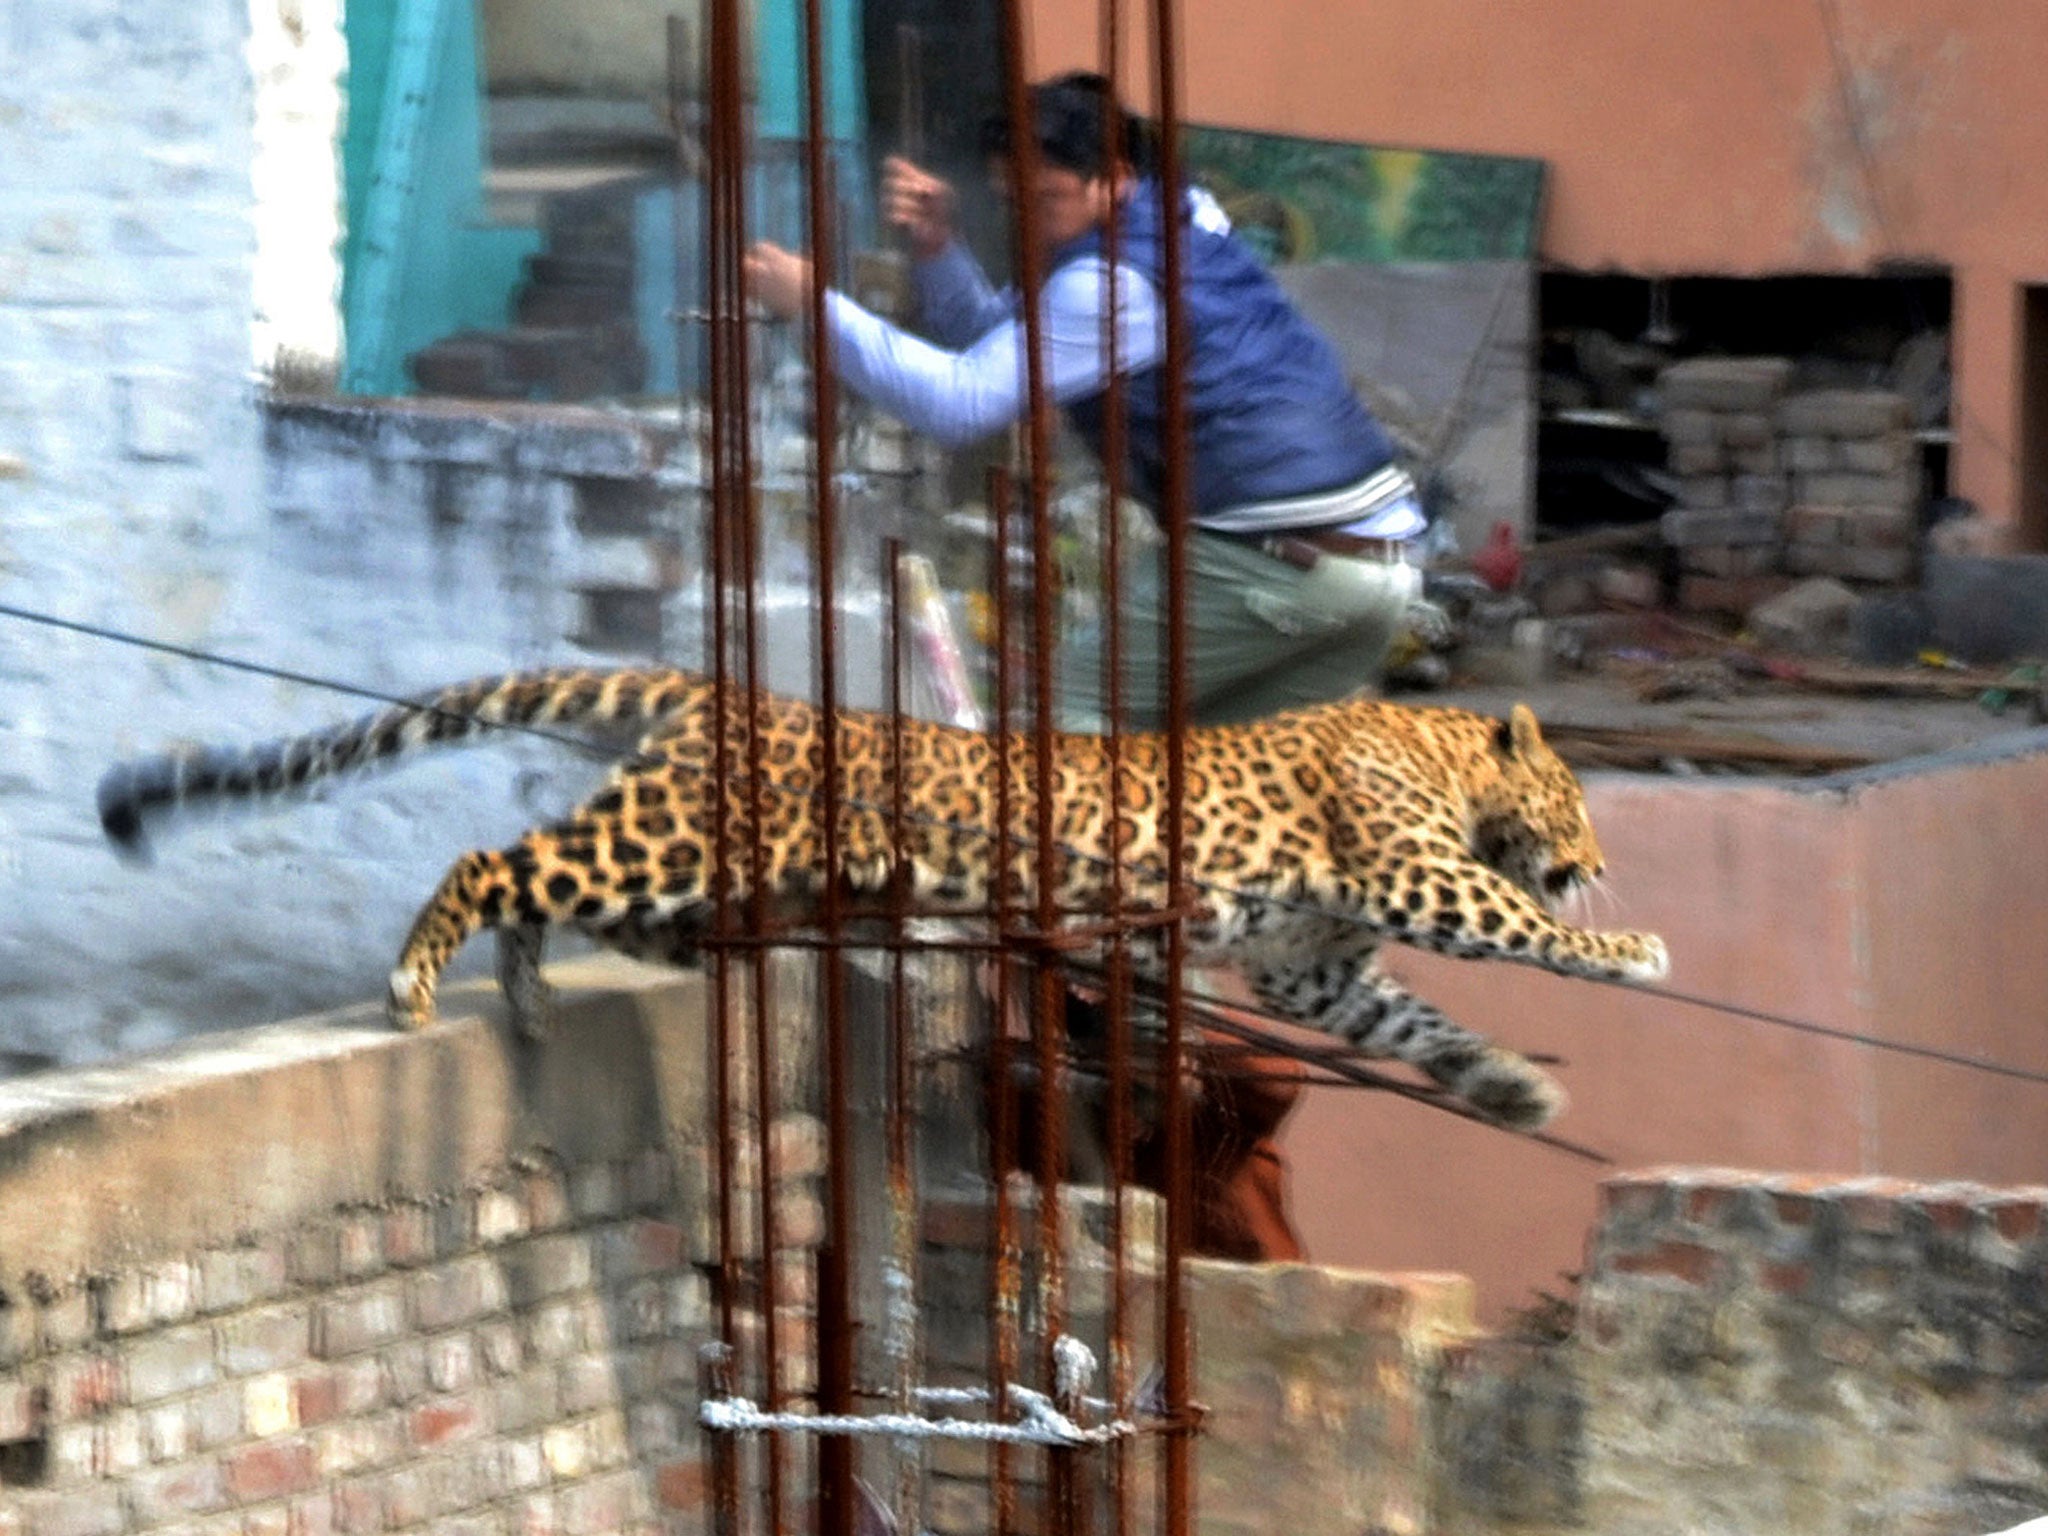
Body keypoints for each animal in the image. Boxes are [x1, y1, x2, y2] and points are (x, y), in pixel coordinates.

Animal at [99, 663, 1662, 1130]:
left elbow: (1414, 1023)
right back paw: (419, 982)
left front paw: (1509, 1088)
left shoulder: (1309, 966)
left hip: (680, 866)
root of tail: (715, 689)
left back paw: (533, 994)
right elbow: (1522, 931)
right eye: (1582, 810)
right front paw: (1632, 945)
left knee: (546, 874)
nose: (1599, 855)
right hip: (681, 843)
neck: (1441, 749)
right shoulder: (1415, 871)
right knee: (498, 860)